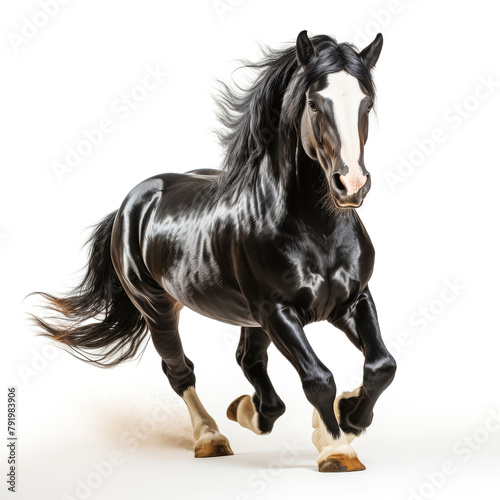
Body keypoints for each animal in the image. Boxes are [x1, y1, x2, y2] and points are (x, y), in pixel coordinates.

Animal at [33, 31, 396, 472]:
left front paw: (348, 417)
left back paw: (249, 411)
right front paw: (337, 447)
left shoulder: (350, 301)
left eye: (366, 102)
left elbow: (382, 365)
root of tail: (130, 203)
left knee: (249, 362)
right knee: (181, 372)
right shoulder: (278, 311)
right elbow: (318, 377)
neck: (318, 229)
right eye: (314, 103)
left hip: (249, 317)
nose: (352, 185)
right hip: (159, 308)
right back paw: (211, 436)